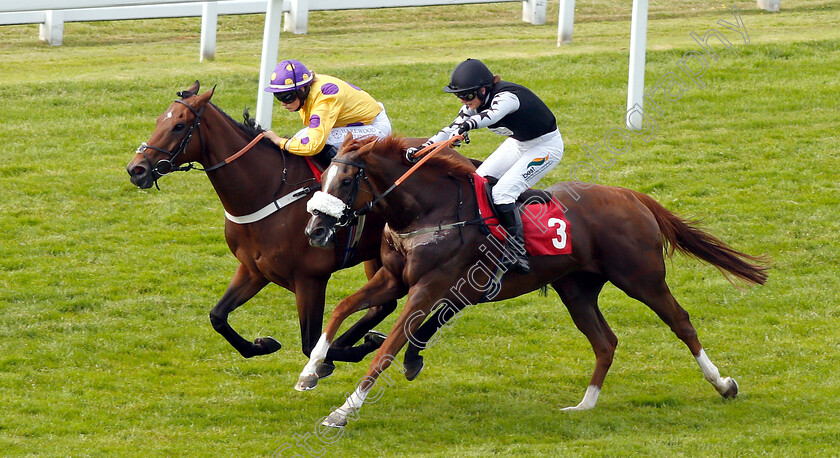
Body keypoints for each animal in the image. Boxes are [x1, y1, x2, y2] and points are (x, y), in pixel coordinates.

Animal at [125, 82, 400, 372]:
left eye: (179, 126)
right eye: (159, 120)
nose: (136, 169)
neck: (267, 190)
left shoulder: (311, 279)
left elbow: (309, 343)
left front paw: (331, 357)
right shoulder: (253, 269)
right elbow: (217, 316)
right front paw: (263, 344)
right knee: (383, 305)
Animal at [300, 134, 768, 428]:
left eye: (346, 180)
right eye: (323, 178)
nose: (315, 231)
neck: (428, 212)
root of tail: (631, 195)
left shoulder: (427, 288)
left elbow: (388, 349)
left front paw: (342, 412)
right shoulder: (394, 279)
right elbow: (340, 310)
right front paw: (309, 371)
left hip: (642, 278)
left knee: (681, 321)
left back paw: (723, 384)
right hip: (577, 289)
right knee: (605, 342)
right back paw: (584, 405)